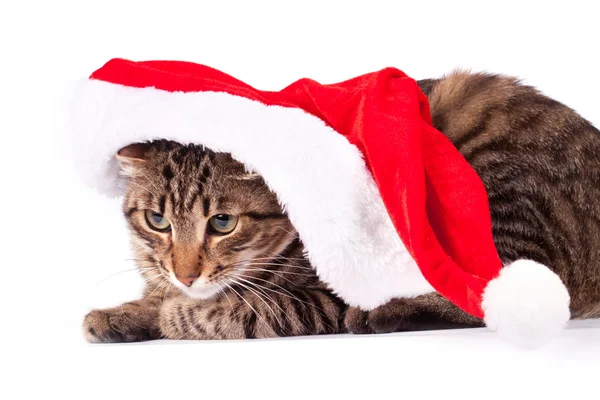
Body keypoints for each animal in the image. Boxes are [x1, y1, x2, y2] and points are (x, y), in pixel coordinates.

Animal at [84, 140, 346, 340]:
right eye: (157, 219)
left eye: (223, 222)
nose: (185, 278)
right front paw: (124, 313)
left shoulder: (329, 301)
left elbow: (254, 309)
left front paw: (170, 314)